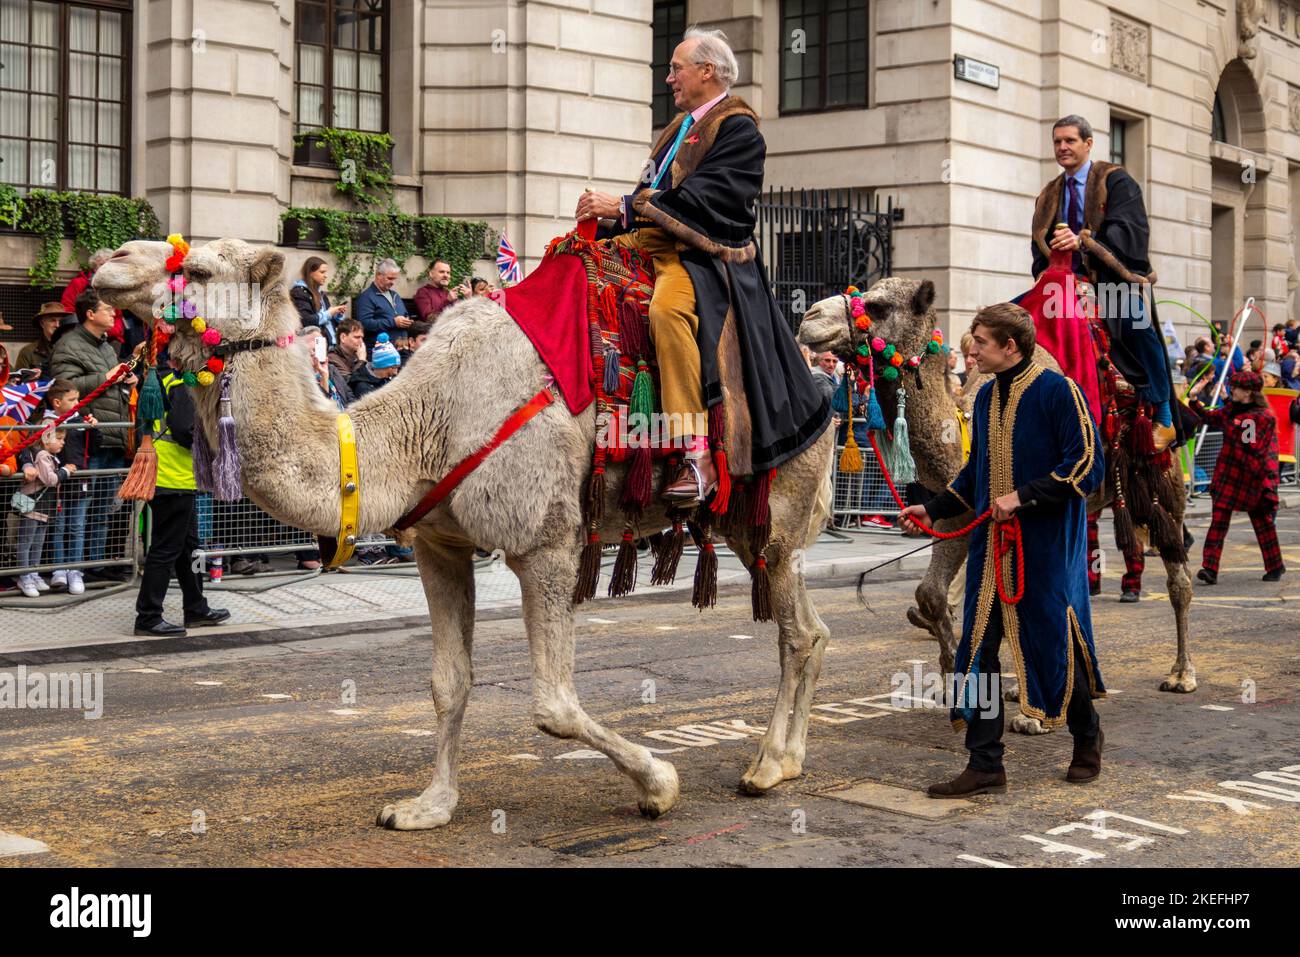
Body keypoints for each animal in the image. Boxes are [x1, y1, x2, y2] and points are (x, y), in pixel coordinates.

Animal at [96, 237, 837, 832]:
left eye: (196, 267)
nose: (109, 260)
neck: (423, 426)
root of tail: (824, 391)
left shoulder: (546, 542)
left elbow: (553, 705)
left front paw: (659, 784)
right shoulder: (438, 543)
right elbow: (448, 682)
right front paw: (426, 807)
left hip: (783, 506)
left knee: (798, 630)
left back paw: (767, 767)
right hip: (748, 523)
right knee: (810, 628)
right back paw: (789, 759)